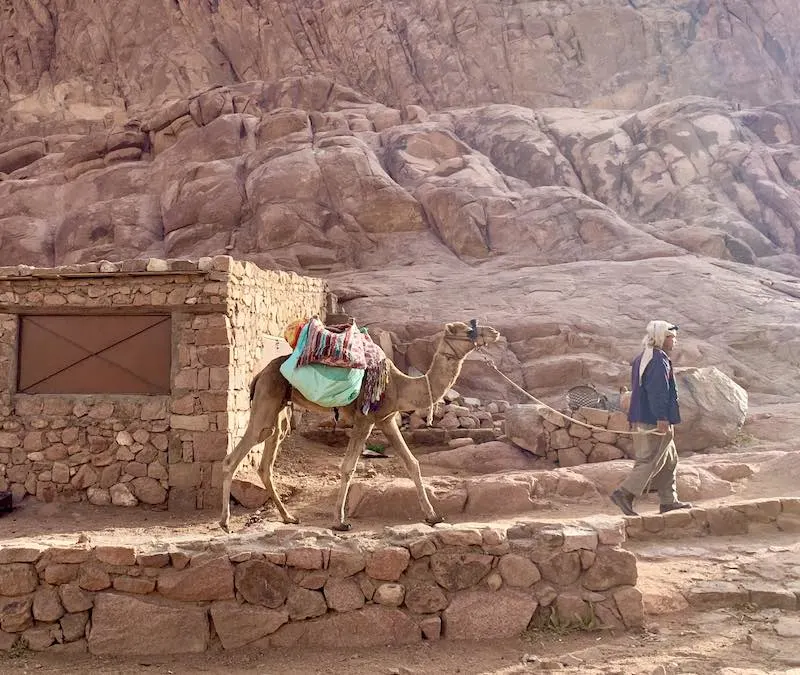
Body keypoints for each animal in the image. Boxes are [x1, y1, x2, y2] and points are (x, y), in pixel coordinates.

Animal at [216, 322, 496, 532]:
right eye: (465, 330)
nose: (493, 332)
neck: (400, 386)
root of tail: (258, 375)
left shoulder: (386, 420)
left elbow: (412, 463)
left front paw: (433, 516)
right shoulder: (365, 420)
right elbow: (348, 467)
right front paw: (340, 521)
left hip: (278, 409)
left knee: (267, 460)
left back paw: (288, 517)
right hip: (267, 397)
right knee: (236, 455)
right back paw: (225, 522)